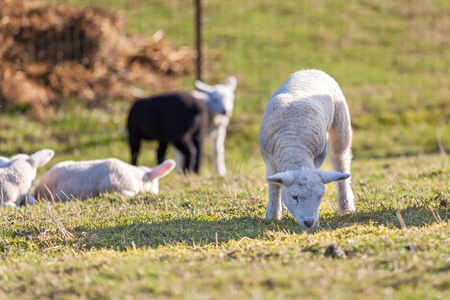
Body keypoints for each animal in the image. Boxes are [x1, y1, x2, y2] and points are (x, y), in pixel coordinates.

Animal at [258, 69, 356, 229]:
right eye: (294, 197)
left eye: (320, 197)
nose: (309, 222)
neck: (294, 147)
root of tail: (311, 70)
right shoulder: (268, 157)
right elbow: (274, 186)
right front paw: (272, 215)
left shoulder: (318, 157)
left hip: (341, 122)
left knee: (341, 161)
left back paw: (346, 206)